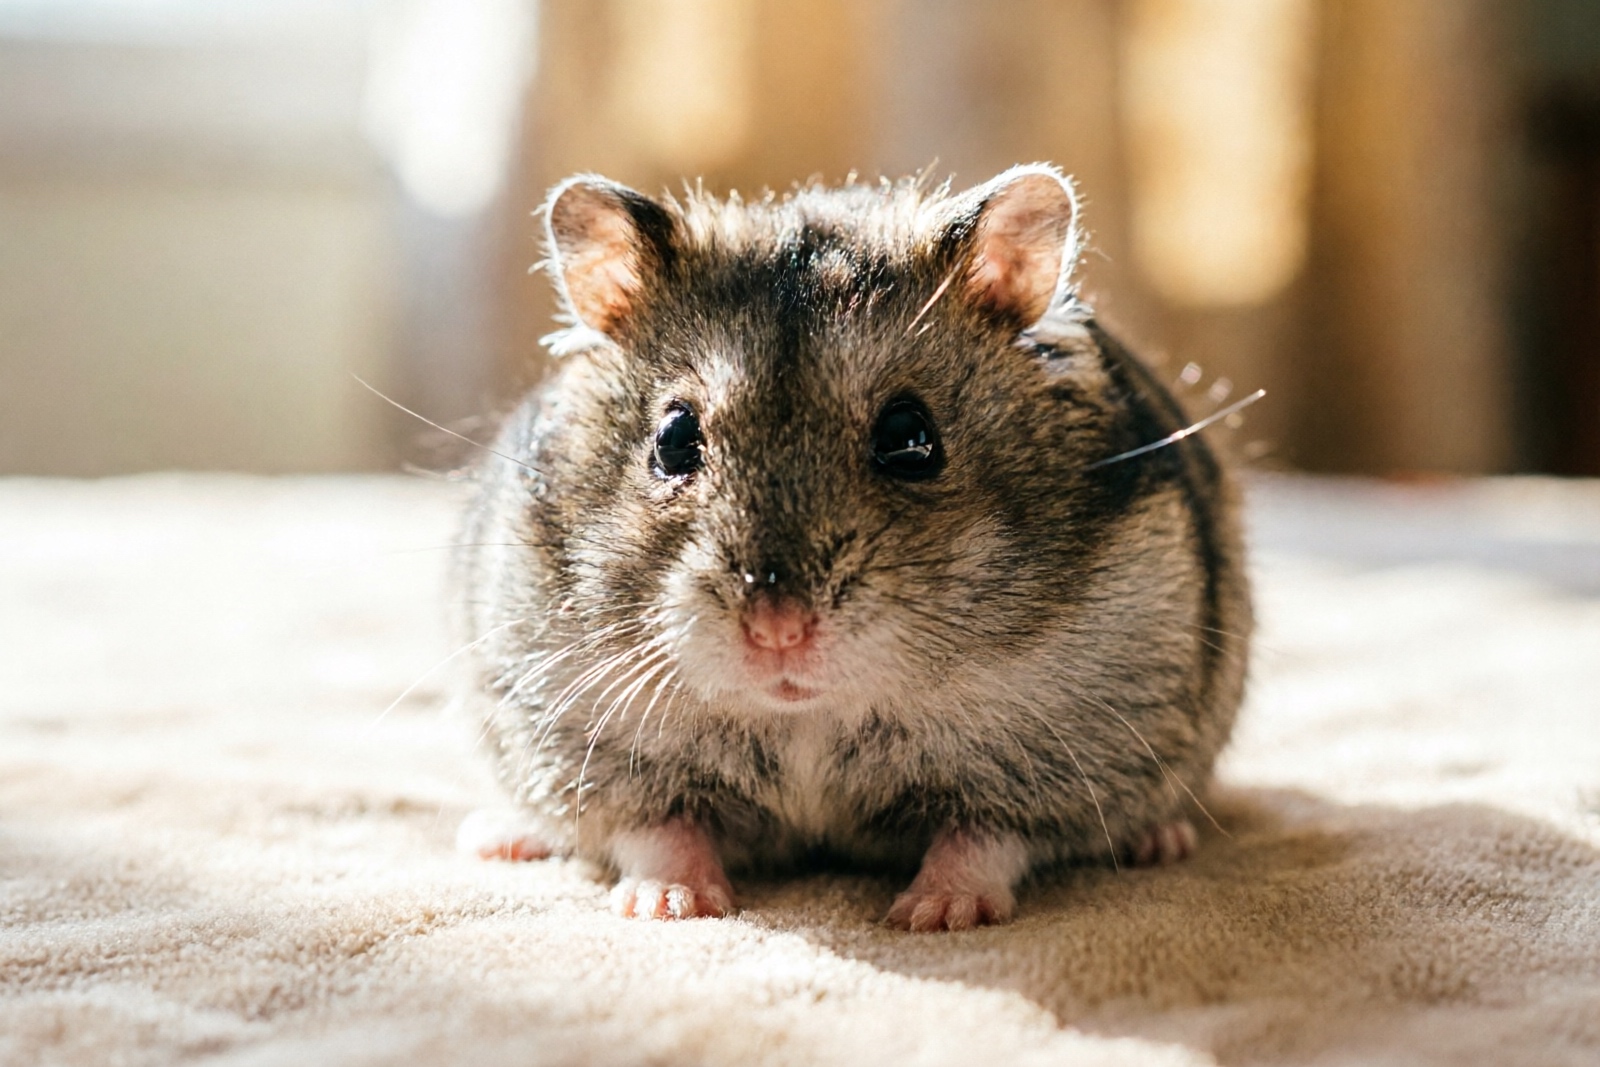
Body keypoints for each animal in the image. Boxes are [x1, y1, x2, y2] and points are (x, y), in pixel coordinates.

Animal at [454, 164, 1251, 931]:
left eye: (911, 439)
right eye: (674, 439)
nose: (777, 631)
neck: (808, 715)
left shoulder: (1057, 758)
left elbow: (984, 839)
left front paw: (932, 916)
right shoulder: (592, 749)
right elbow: (659, 831)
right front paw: (671, 906)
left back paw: (1162, 840)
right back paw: (499, 838)